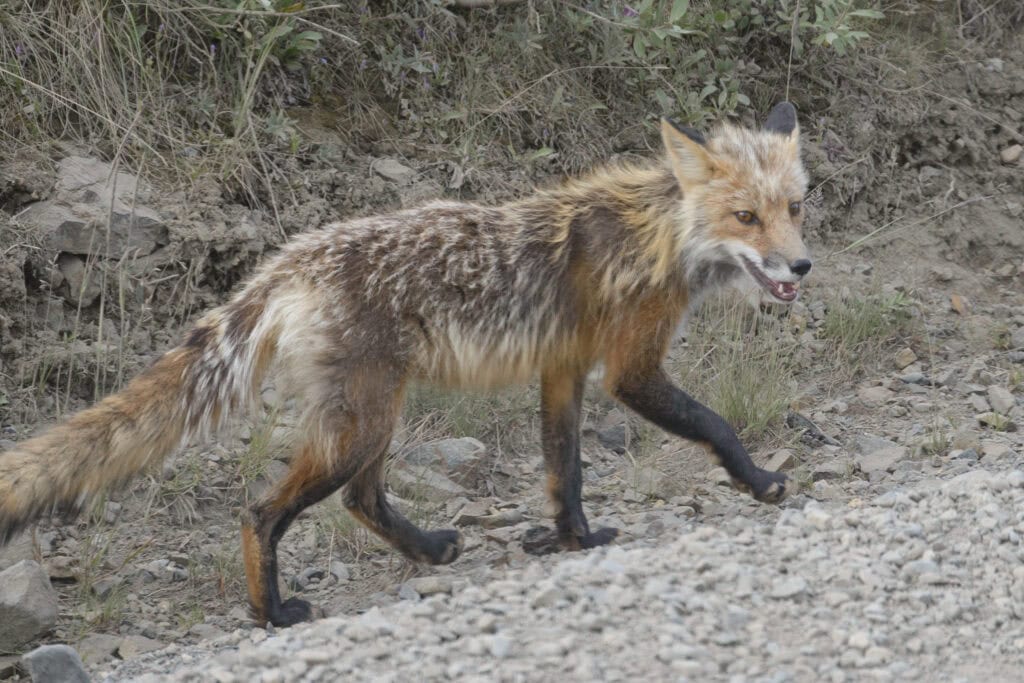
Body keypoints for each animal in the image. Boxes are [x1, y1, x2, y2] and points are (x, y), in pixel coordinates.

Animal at [2, 102, 815, 630]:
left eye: (795, 207)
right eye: (746, 217)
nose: (802, 266)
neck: (659, 234)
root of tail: (291, 259)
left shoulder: (563, 368)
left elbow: (565, 469)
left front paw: (573, 540)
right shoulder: (629, 369)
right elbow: (717, 425)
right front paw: (760, 480)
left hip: (369, 415)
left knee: (362, 501)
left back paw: (426, 549)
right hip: (366, 422)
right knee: (267, 510)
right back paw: (272, 612)